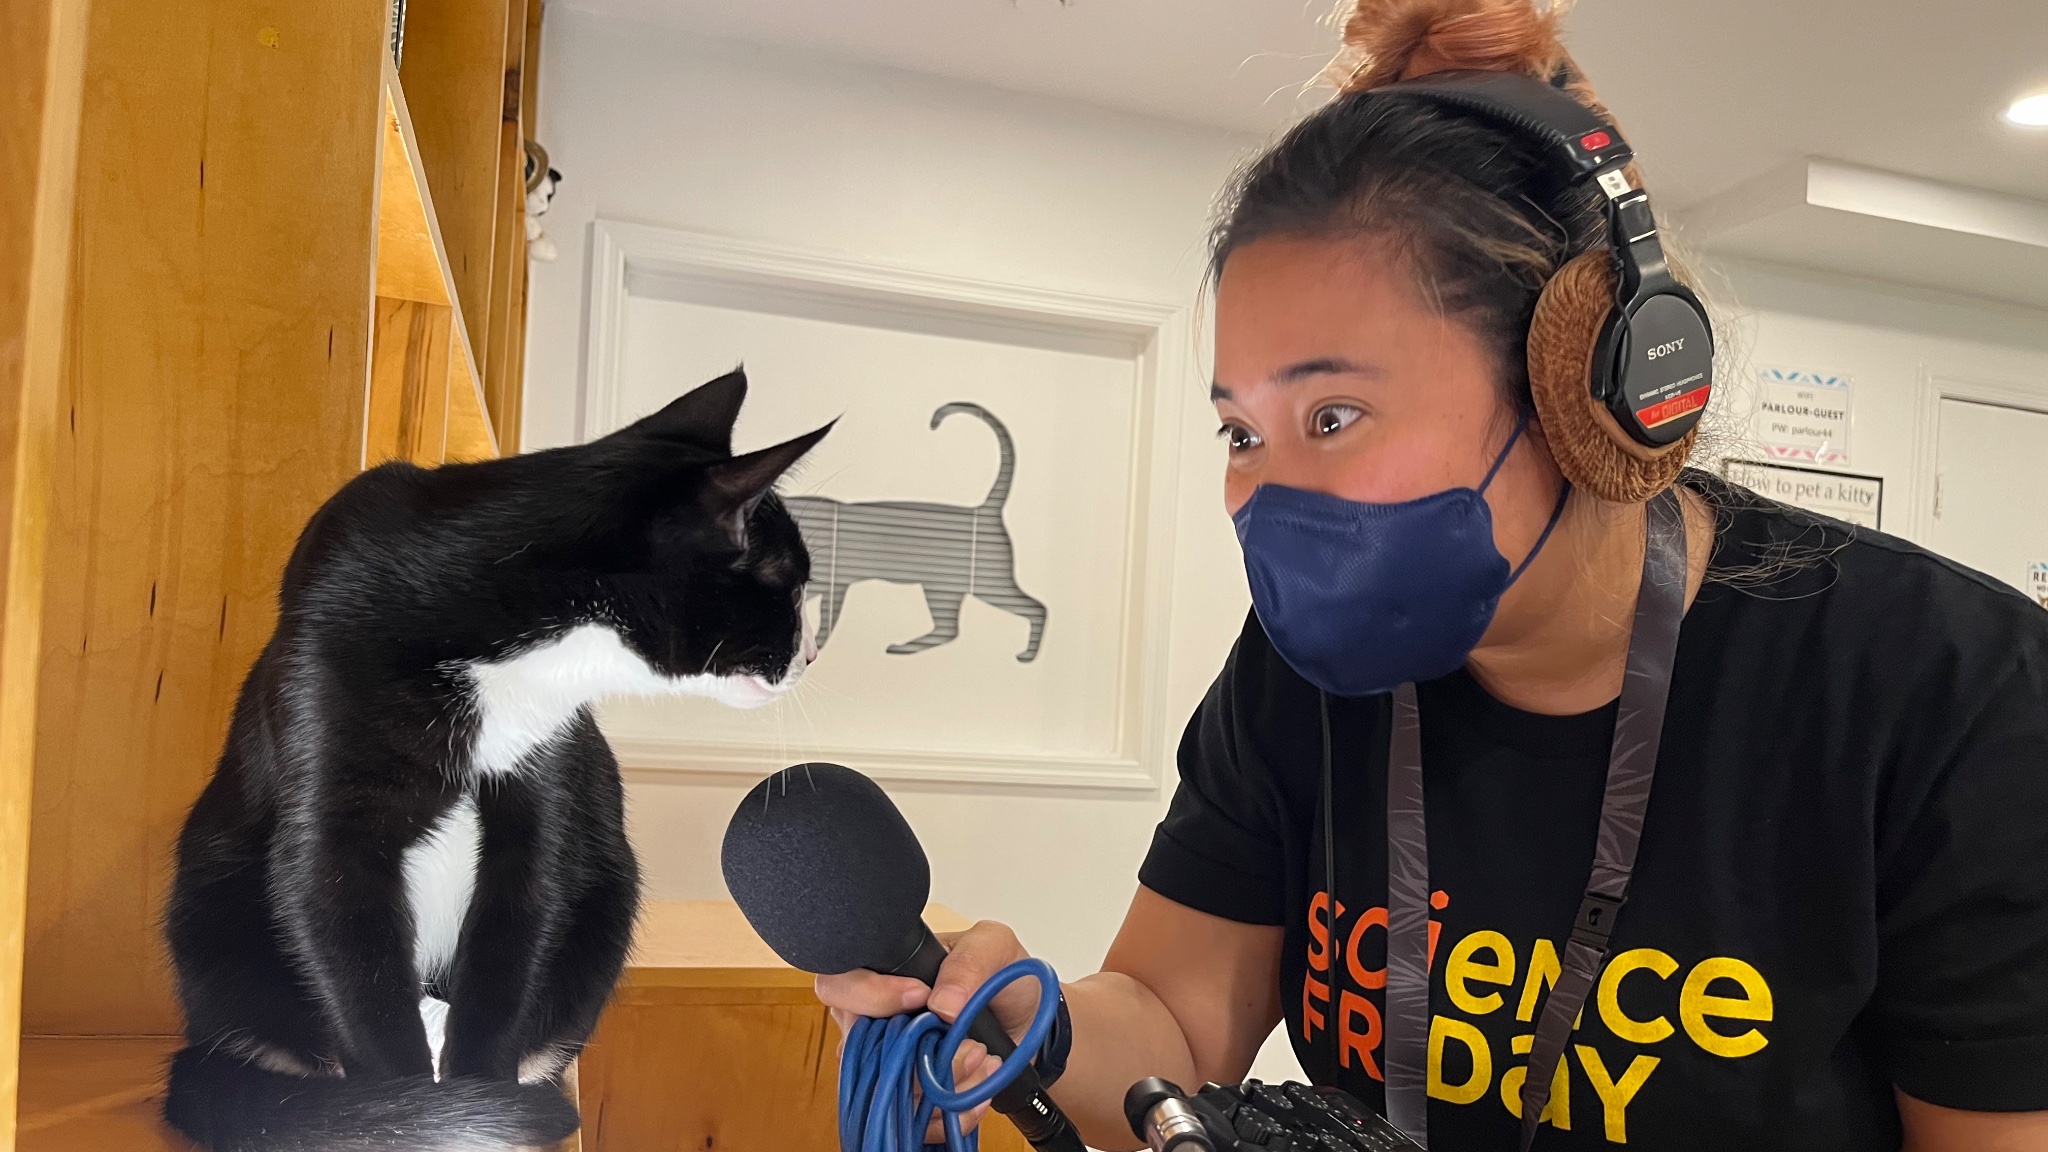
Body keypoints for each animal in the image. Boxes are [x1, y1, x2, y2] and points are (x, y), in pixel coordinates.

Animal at [165, 368, 823, 1147]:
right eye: (790, 584)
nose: (813, 653)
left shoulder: (544, 778)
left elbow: (520, 920)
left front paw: (478, 1097)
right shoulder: (327, 747)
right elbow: (337, 919)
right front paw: (410, 1114)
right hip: (213, 906)